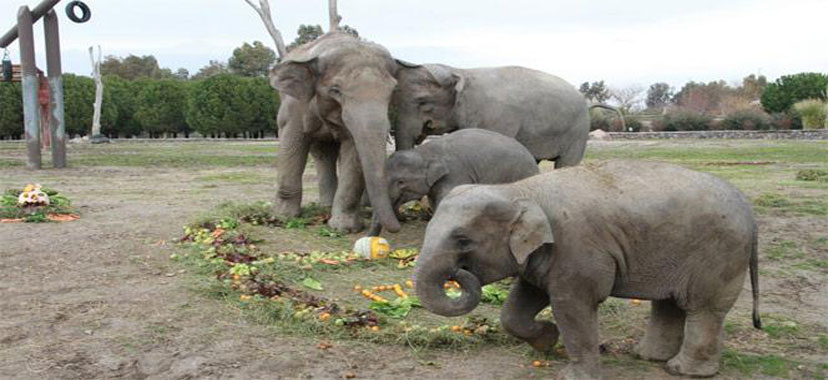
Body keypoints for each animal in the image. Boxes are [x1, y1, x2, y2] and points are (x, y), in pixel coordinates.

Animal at [272, 32, 402, 233]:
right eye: (335, 90)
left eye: (393, 90)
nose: (397, 226)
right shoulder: (294, 104)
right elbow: (293, 139)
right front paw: (283, 218)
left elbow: (353, 152)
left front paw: (344, 228)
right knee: (320, 152)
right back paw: (323, 206)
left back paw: (328, 206)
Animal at [418, 161, 760, 380]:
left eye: (462, 240)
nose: (458, 273)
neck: (519, 190)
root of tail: (747, 208)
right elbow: (520, 304)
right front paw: (547, 342)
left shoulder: (576, 247)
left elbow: (572, 305)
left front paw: (572, 375)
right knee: (670, 303)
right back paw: (648, 357)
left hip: (718, 254)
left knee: (703, 309)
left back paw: (682, 371)